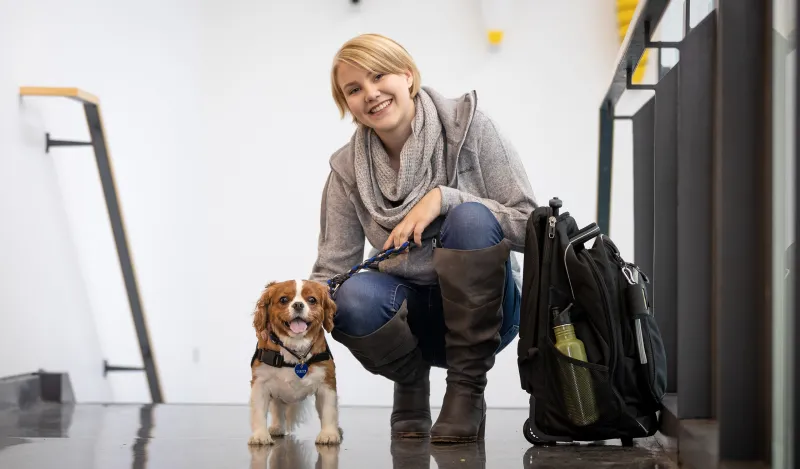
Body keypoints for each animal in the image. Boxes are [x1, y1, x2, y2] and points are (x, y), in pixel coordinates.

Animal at [247, 280, 340, 444]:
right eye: (284, 299)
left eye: (312, 300)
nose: (298, 305)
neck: (296, 347)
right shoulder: (260, 383)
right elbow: (259, 412)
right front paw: (260, 435)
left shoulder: (326, 383)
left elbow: (329, 411)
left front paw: (329, 434)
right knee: (277, 407)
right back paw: (277, 427)